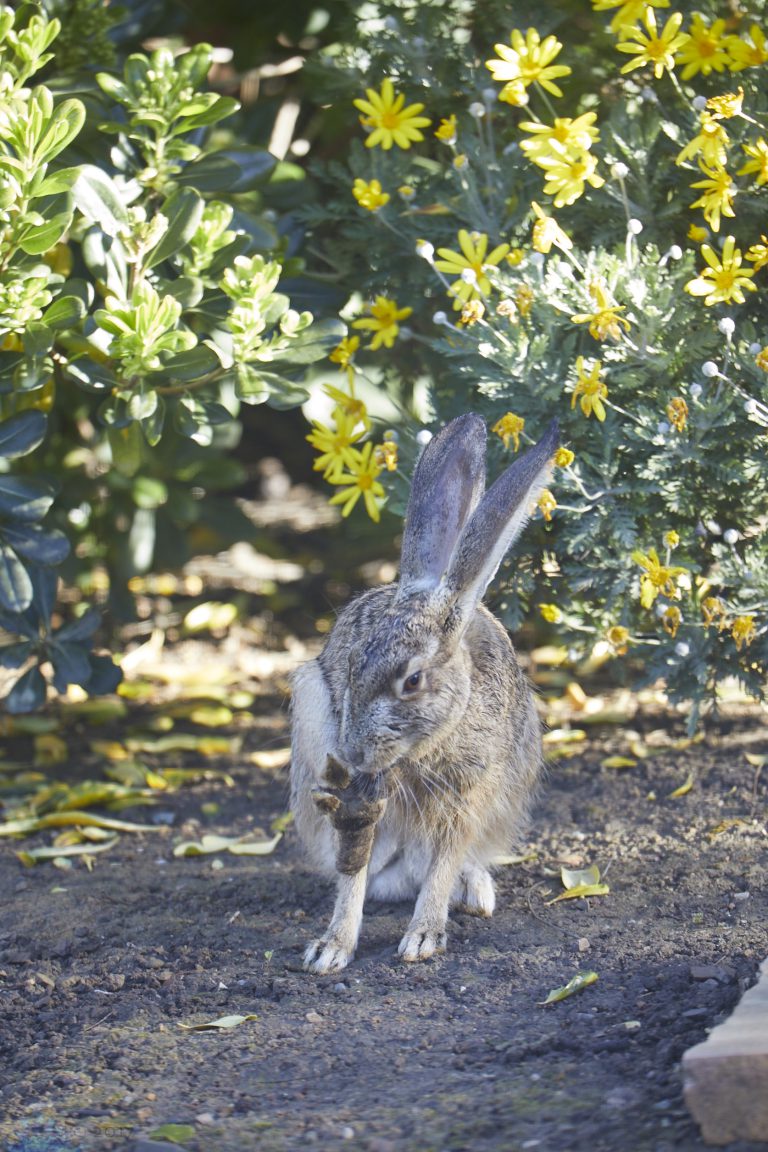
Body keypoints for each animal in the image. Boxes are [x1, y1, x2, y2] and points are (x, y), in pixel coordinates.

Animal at [290, 412, 558, 974]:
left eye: (412, 681)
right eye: (351, 666)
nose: (353, 753)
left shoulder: (470, 793)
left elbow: (445, 860)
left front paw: (424, 937)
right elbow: (354, 868)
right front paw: (332, 948)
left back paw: (475, 893)